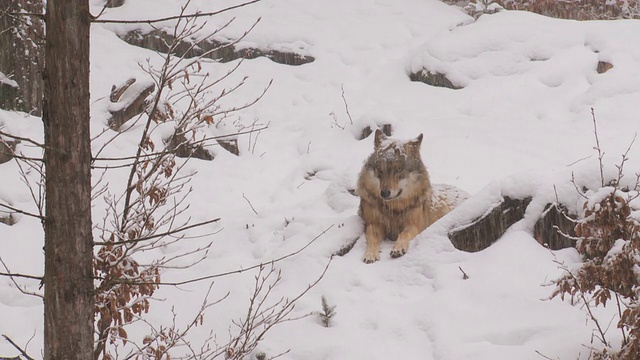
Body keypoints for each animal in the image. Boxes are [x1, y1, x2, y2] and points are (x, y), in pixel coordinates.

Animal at [356, 128, 464, 262]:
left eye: (398, 170)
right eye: (380, 169)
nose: (384, 193)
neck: (393, 209)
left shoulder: (414, 225)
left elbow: (404, 234)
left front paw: (398, 248)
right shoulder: (373, 224)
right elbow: (372, 238)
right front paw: (370, 254)